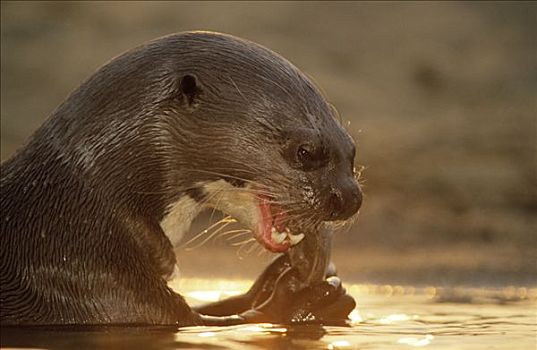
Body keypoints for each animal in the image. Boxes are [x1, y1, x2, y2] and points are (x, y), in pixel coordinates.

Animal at [1, 31, 360, 326]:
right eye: (305, 151)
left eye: (352, 150)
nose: (350, 197)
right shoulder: (95, 280)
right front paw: (304, 300)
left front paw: (274, 277)